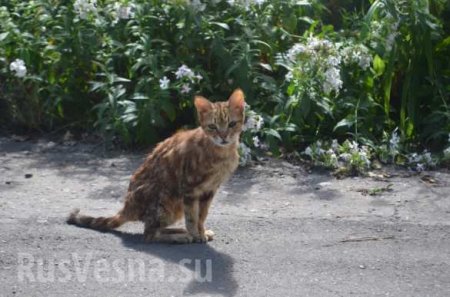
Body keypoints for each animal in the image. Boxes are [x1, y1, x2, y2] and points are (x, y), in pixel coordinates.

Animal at [66, 88, 246, 243]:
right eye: (212, 126)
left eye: (231, 124)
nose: (223, 136)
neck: (221, 154)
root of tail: (127, 207)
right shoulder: (189, 189)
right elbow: (192, 217)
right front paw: (196, 235)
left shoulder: (210, 190)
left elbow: (202, 215)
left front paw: (201, 231)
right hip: (164, 197)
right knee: (149, 234)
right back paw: (182, 236)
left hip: (174, 208)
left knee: (156, 229)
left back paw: (180, 232)